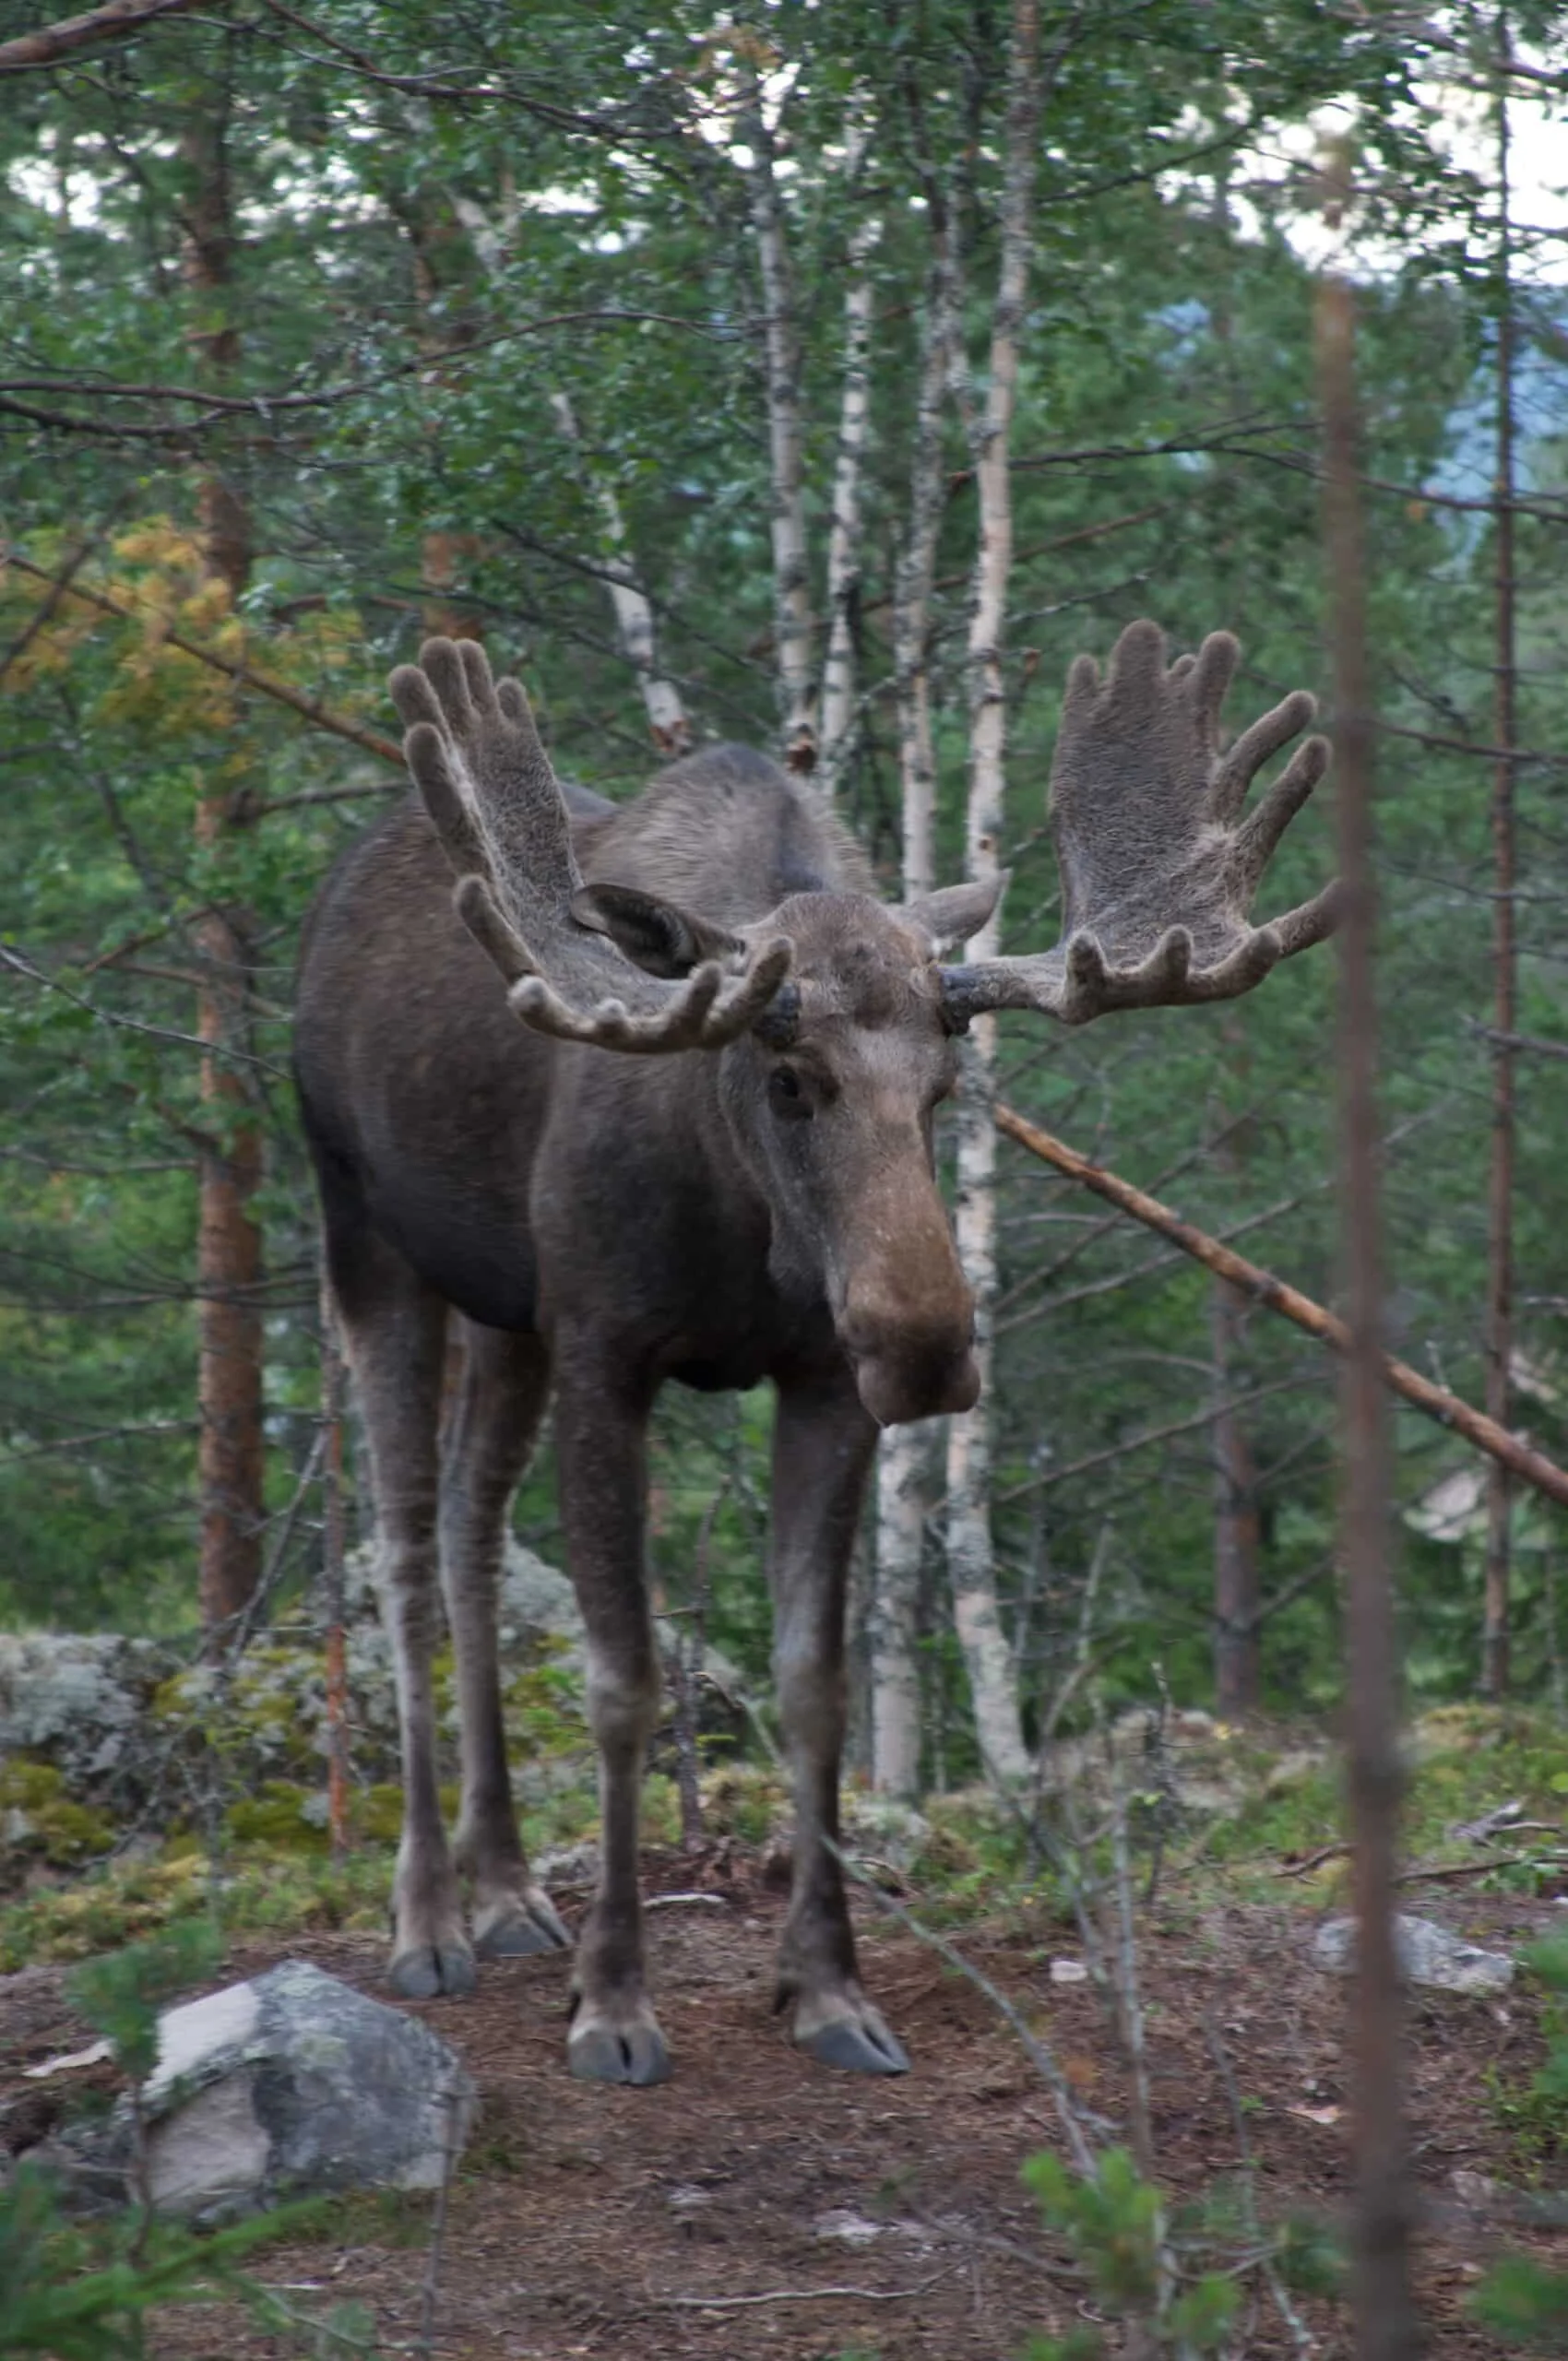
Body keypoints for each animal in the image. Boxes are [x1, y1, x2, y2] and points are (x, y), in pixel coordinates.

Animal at [293, 619, 1336, 2085]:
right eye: (789, 1078)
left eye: (947, 1086)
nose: (931, 1349)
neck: (743, 1220)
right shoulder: (607, 1347)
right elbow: (625, 1683)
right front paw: (616, 2003)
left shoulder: (819, 1384)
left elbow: (817, 1686)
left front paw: (826, 1988)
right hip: (366, 1242)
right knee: (397, 1551)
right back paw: (430, 1918)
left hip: (506, 1313)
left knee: (465, 1535)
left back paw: (505, 1893)